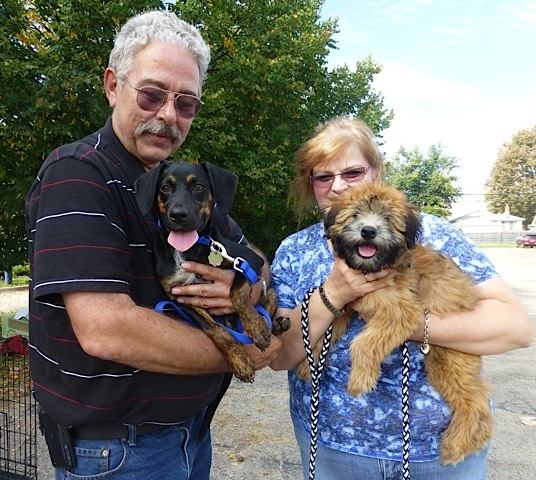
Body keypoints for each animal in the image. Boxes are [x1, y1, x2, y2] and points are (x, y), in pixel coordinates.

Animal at [135, 161, 288, 382]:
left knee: (265, 306)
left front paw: (256, 327)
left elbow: (236, 293)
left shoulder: (249, 261)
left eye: (199, 186)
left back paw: (272, 326)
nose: (178, 215)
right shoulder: (179, 297)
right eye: (165, 188)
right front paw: (240, 360)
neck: (186, 250)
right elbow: (214, 329)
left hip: (272, 291)